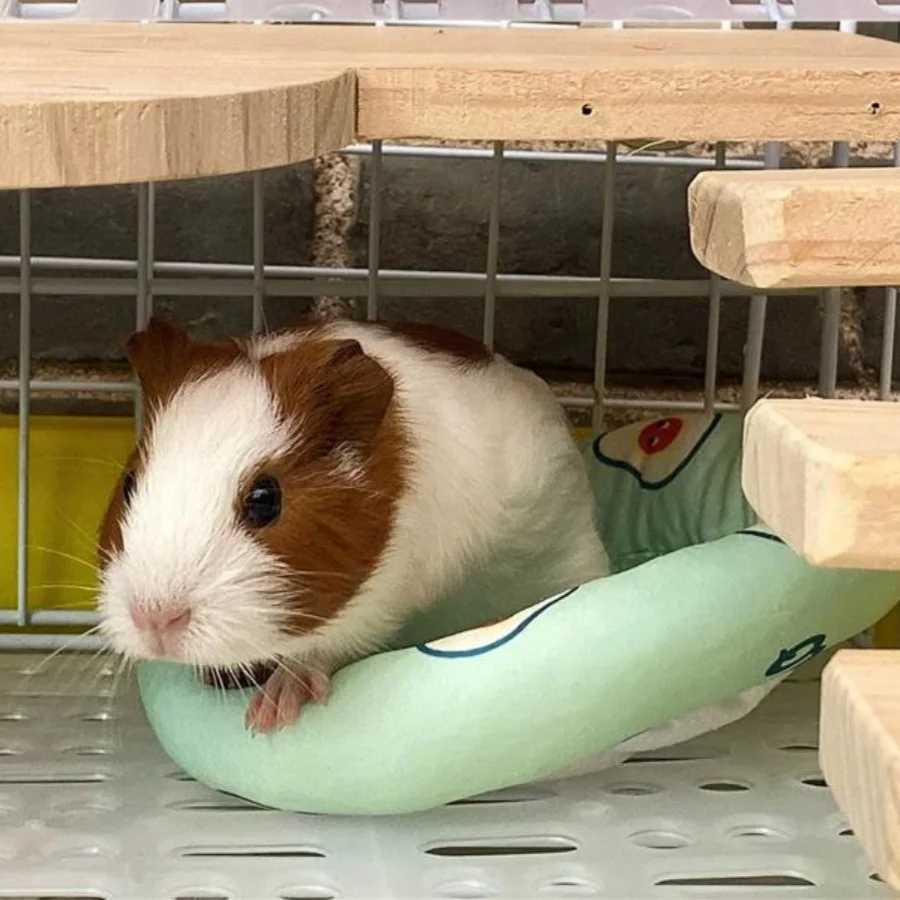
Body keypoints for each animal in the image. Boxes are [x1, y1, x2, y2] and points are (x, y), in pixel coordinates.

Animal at [98, 317, 609, 732]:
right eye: (130, 483)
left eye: (265, 499)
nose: (155, 618)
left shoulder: (377, 602)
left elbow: (323, 650)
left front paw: (272, 714)